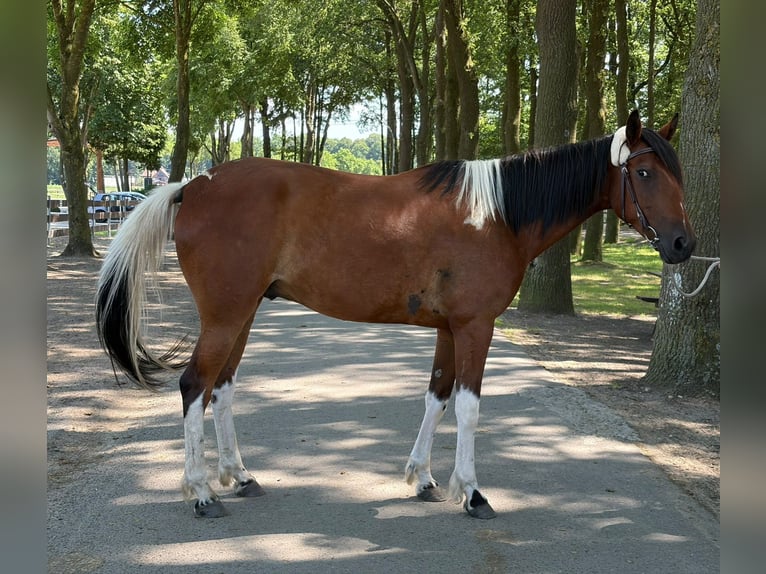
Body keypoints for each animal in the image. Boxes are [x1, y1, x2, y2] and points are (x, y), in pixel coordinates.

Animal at [95, 110, 695, 520]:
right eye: (644, 173)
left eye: (677, 173)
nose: (684, 245)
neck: (496, 214)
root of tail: (193, 186)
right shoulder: (475, 328)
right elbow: (469, 408)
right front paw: (470, 491)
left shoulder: (450, 330)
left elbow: (437, 397)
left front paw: (423, 478)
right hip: (225, 316)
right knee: (194, 385)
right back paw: (199, 492)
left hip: (241, 316)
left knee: (221, 389)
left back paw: (238, 476)